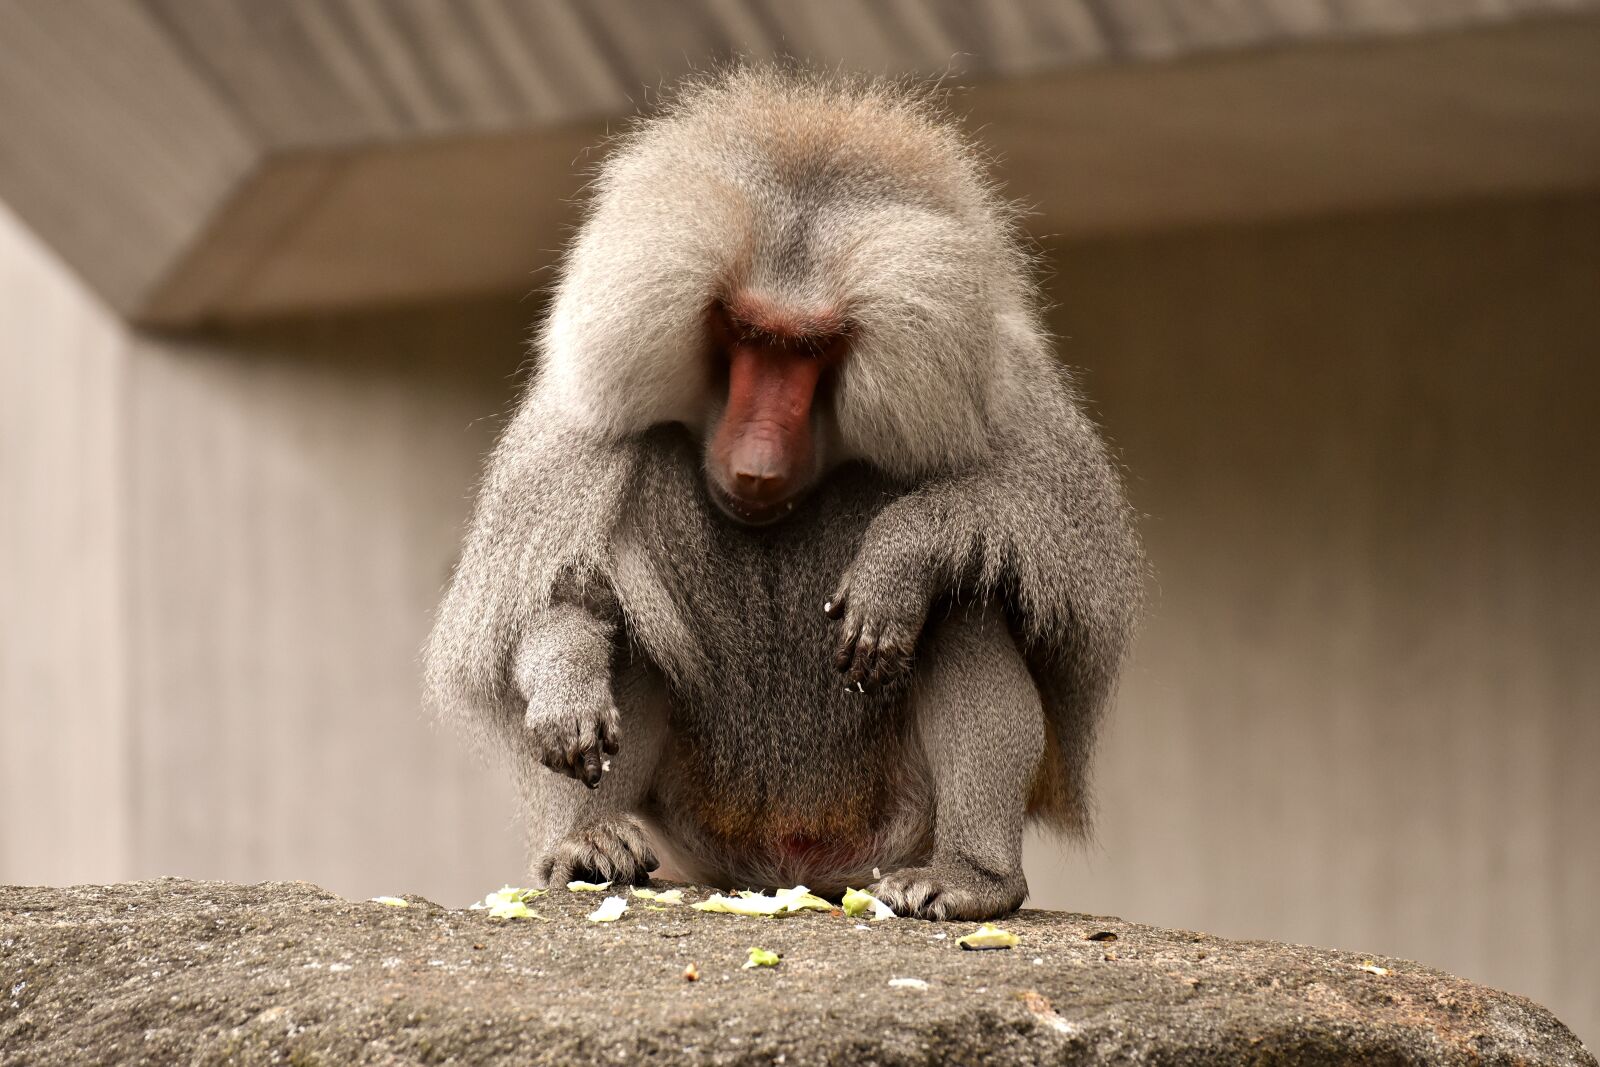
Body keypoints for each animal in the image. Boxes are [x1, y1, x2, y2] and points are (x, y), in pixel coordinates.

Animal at [425, 67, 1143, 921]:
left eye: (812, 348)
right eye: (745, 333)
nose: (759, 463)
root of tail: (792, 865)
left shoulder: (1008, 392)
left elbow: (1041, 547)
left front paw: (898, 557)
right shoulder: (574, 432)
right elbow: (552, 597)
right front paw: (568, 687)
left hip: (890, 822)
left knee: (960, 604)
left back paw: (974, 879)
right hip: (702, 826)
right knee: (631, 612)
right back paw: (588, 844)